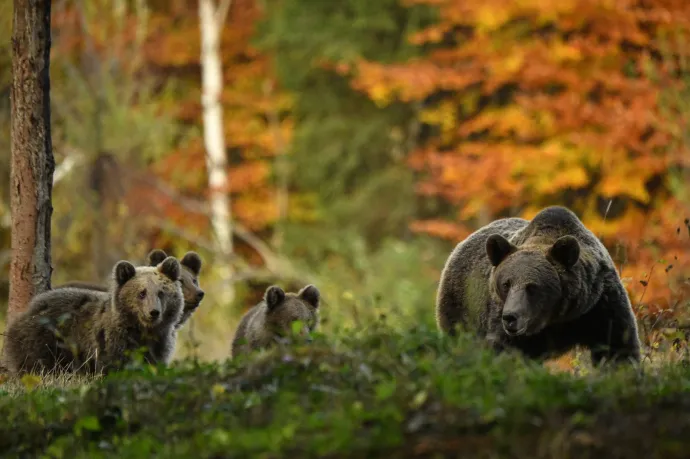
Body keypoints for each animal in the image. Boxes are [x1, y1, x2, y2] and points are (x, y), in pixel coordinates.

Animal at [2, 256, 184, 376]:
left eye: (161, 292)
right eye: (141, 293)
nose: (153, 312)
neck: (143, 331)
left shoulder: (159, 345)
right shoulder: (111, 343)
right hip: (43, 341)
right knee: (37, 366)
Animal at [436, 207, 640, 368]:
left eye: (532, 287)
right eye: (506, 284)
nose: (510, 317)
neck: (556, 318)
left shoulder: (599, 305)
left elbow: (618, 349)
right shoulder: (501, 321)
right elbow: (505, 351)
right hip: (462, 307)